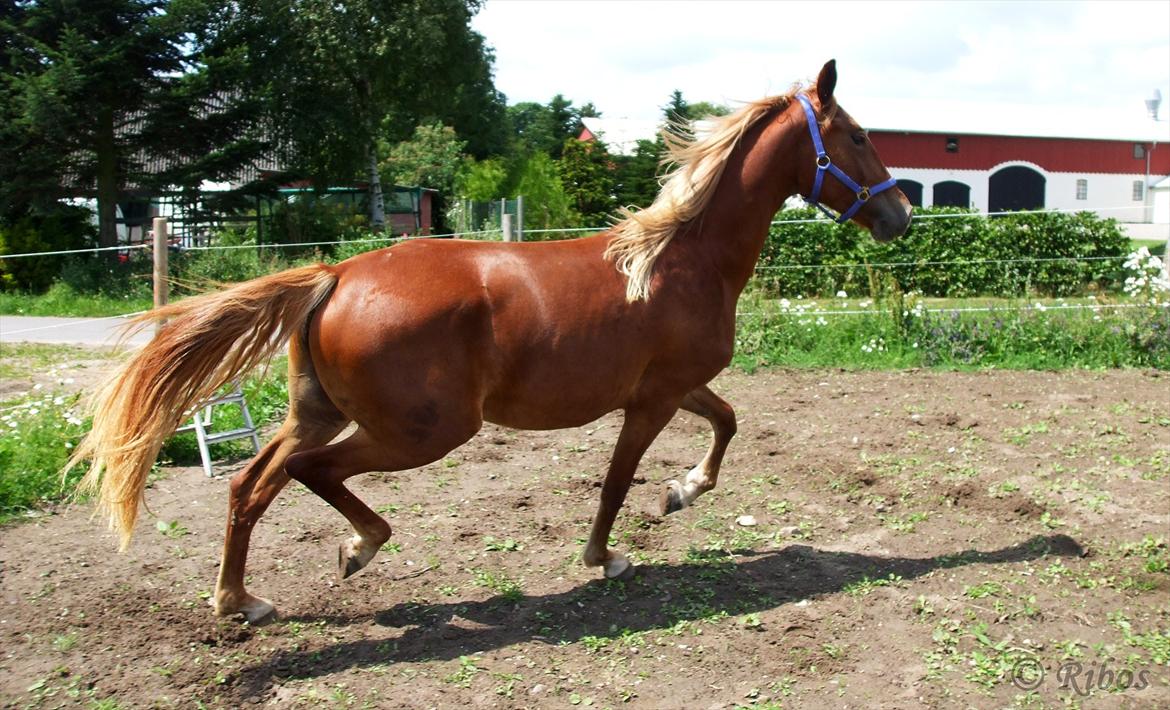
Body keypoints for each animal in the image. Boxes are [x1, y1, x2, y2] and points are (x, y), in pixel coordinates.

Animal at [68, 61, 912, 622]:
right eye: (857, 135)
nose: (900, 213)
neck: (678, 261)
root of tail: (335, 274)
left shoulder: (672, 387)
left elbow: (728, 423)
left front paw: (682, 492)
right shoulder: (652, 400)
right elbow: (616, 481)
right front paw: (607, 556)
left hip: (319, 412)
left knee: (251, 484)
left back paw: (241, 600)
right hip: (424, 430)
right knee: (309, 474)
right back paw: (356, 549)